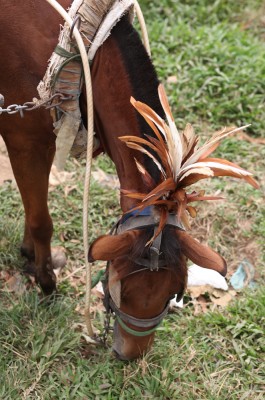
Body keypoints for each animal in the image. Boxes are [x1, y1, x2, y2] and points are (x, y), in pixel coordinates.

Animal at [0, 0, 225, 360]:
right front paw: (47, 281)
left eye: (174, 293)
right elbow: (40, 221)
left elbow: (33, 207)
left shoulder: (43, 140)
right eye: (120, 287)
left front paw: (29, 255)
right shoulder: (24, 138)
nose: (131, 354)